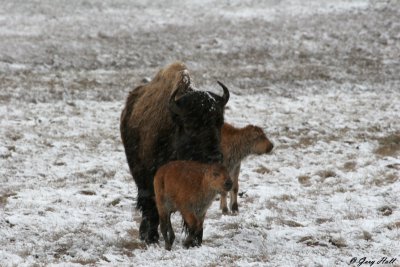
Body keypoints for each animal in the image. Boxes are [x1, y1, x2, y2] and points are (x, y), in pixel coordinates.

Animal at [120, 62, 230, 245]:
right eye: (190, 125)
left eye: (219, 122)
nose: (214, 157)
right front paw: (152, 238)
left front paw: (195, 240)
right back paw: (147, 235)